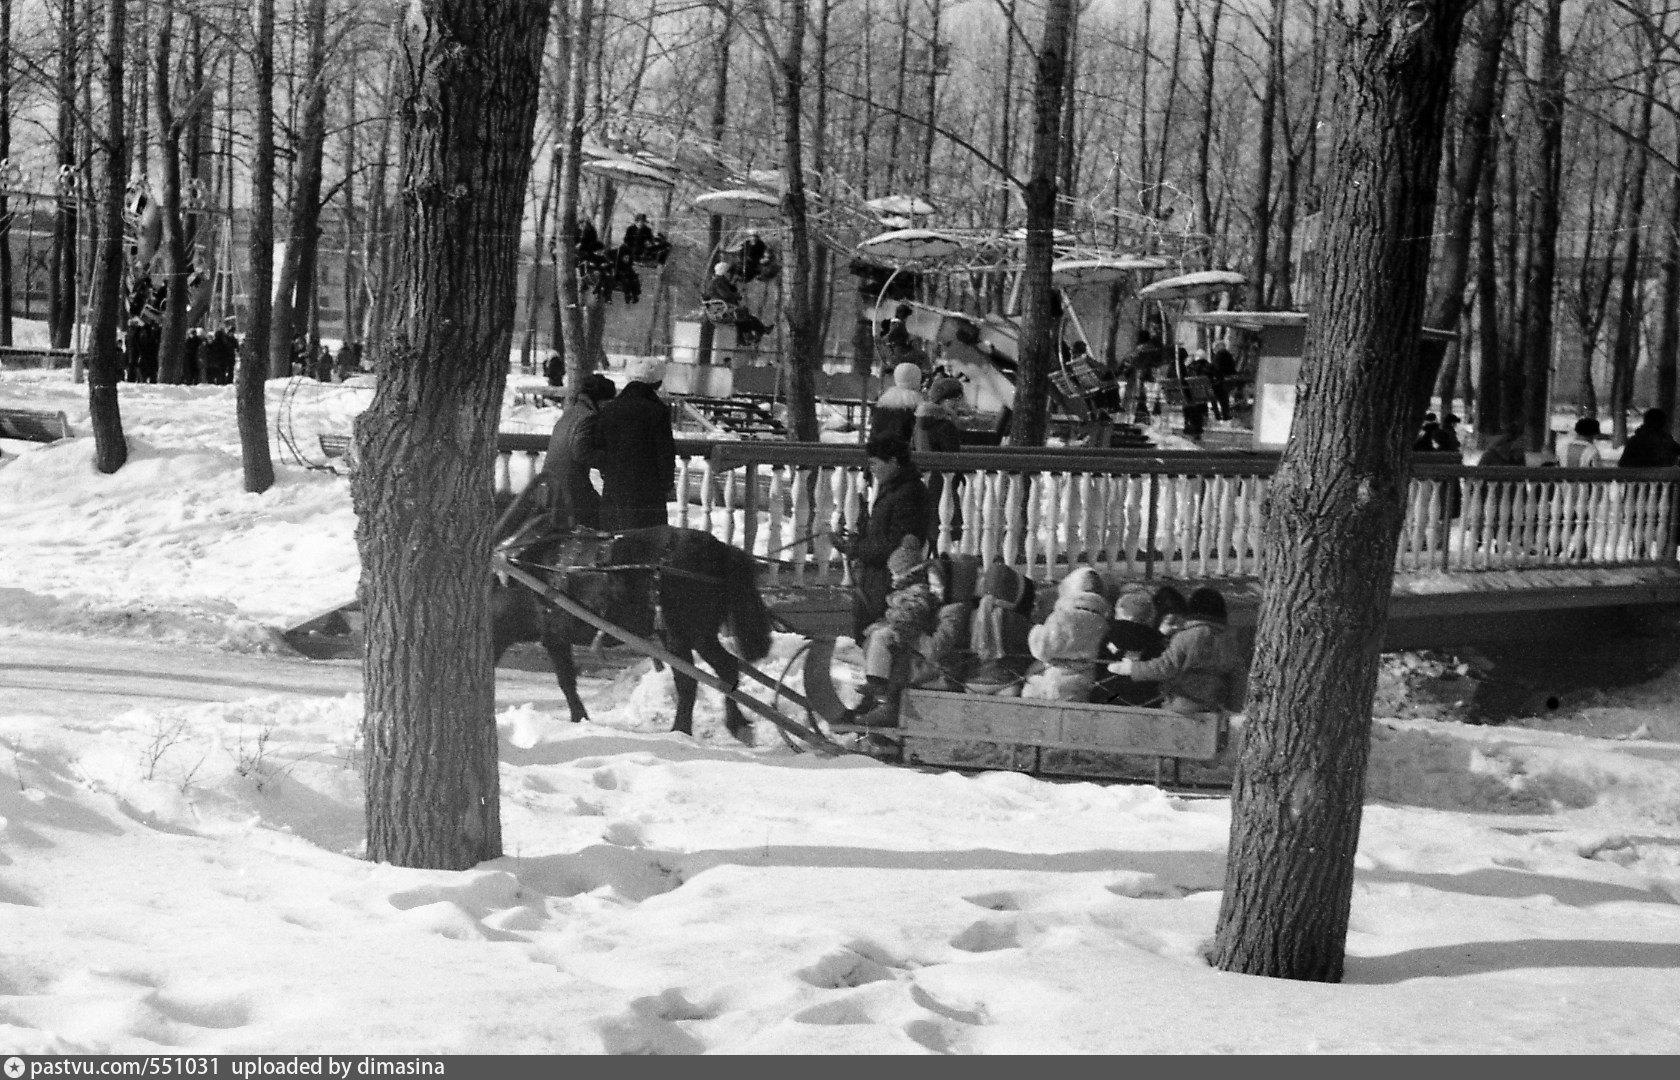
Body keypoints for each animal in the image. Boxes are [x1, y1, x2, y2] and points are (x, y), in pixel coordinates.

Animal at [490, 520, 769, 742]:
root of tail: (721, 551)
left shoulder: (554, 637)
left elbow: (566, 682)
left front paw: (579, 717)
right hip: (698, 634)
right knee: (726, 670)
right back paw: (734, 724)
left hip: (681, 635)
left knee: (695, 679)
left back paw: (685, 730)